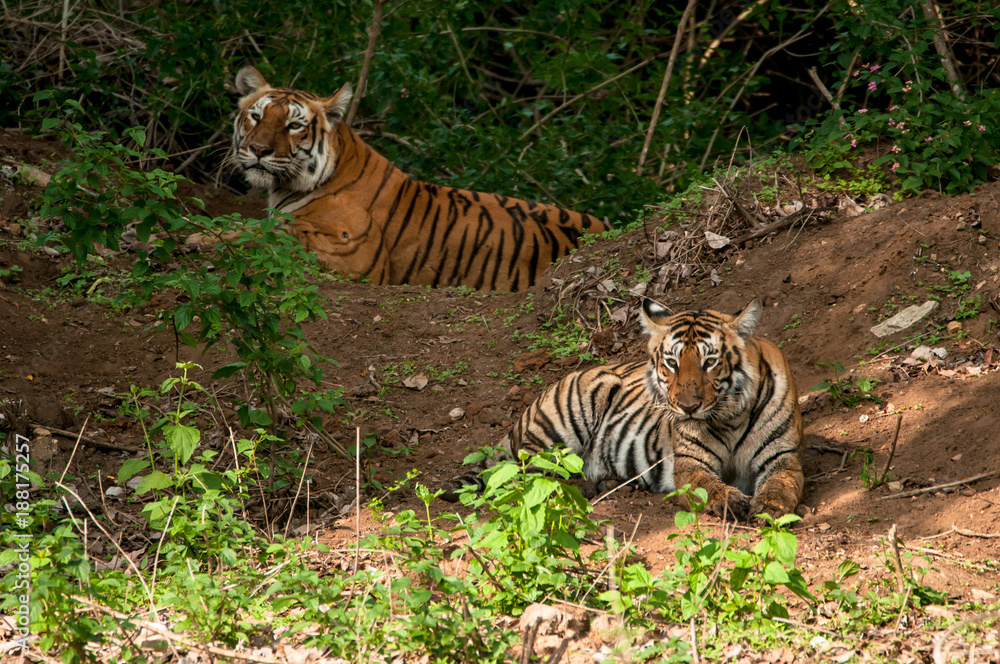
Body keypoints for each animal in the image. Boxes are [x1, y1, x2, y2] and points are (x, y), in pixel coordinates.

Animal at [209, 66, 607, 291]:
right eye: (257, 116)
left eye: (293, 125)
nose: (259, 149)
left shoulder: (351, 250)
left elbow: (271, 232)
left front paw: (205, 238)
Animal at [443, 298, 804, 522]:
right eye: (672, 363)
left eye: (709, 362)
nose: (687, 408)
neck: (729, 417)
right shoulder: (690, 463)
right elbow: (707, 484)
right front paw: (731, 500)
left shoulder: (782, 457)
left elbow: (782, 484)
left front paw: (770, 507)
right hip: (563, 423)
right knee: (526, 474)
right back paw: (583, 488)